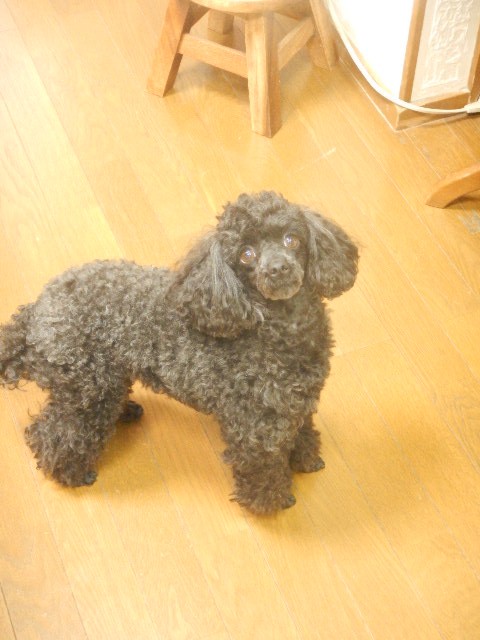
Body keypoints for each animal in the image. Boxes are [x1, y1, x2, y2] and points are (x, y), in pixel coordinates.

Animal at [0, 191, 358, 513]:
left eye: (291, 239)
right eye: (246, 254)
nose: (278, 269)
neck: (283, 328)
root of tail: (35, 311)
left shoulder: (295, 403)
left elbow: (301, 431)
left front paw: (306, 459)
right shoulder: (256, 423)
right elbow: (263, 465)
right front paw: (271, 501)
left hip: (106, 378)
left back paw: (125, 413)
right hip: (86, 389)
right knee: (53, 433)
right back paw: (71, 473)